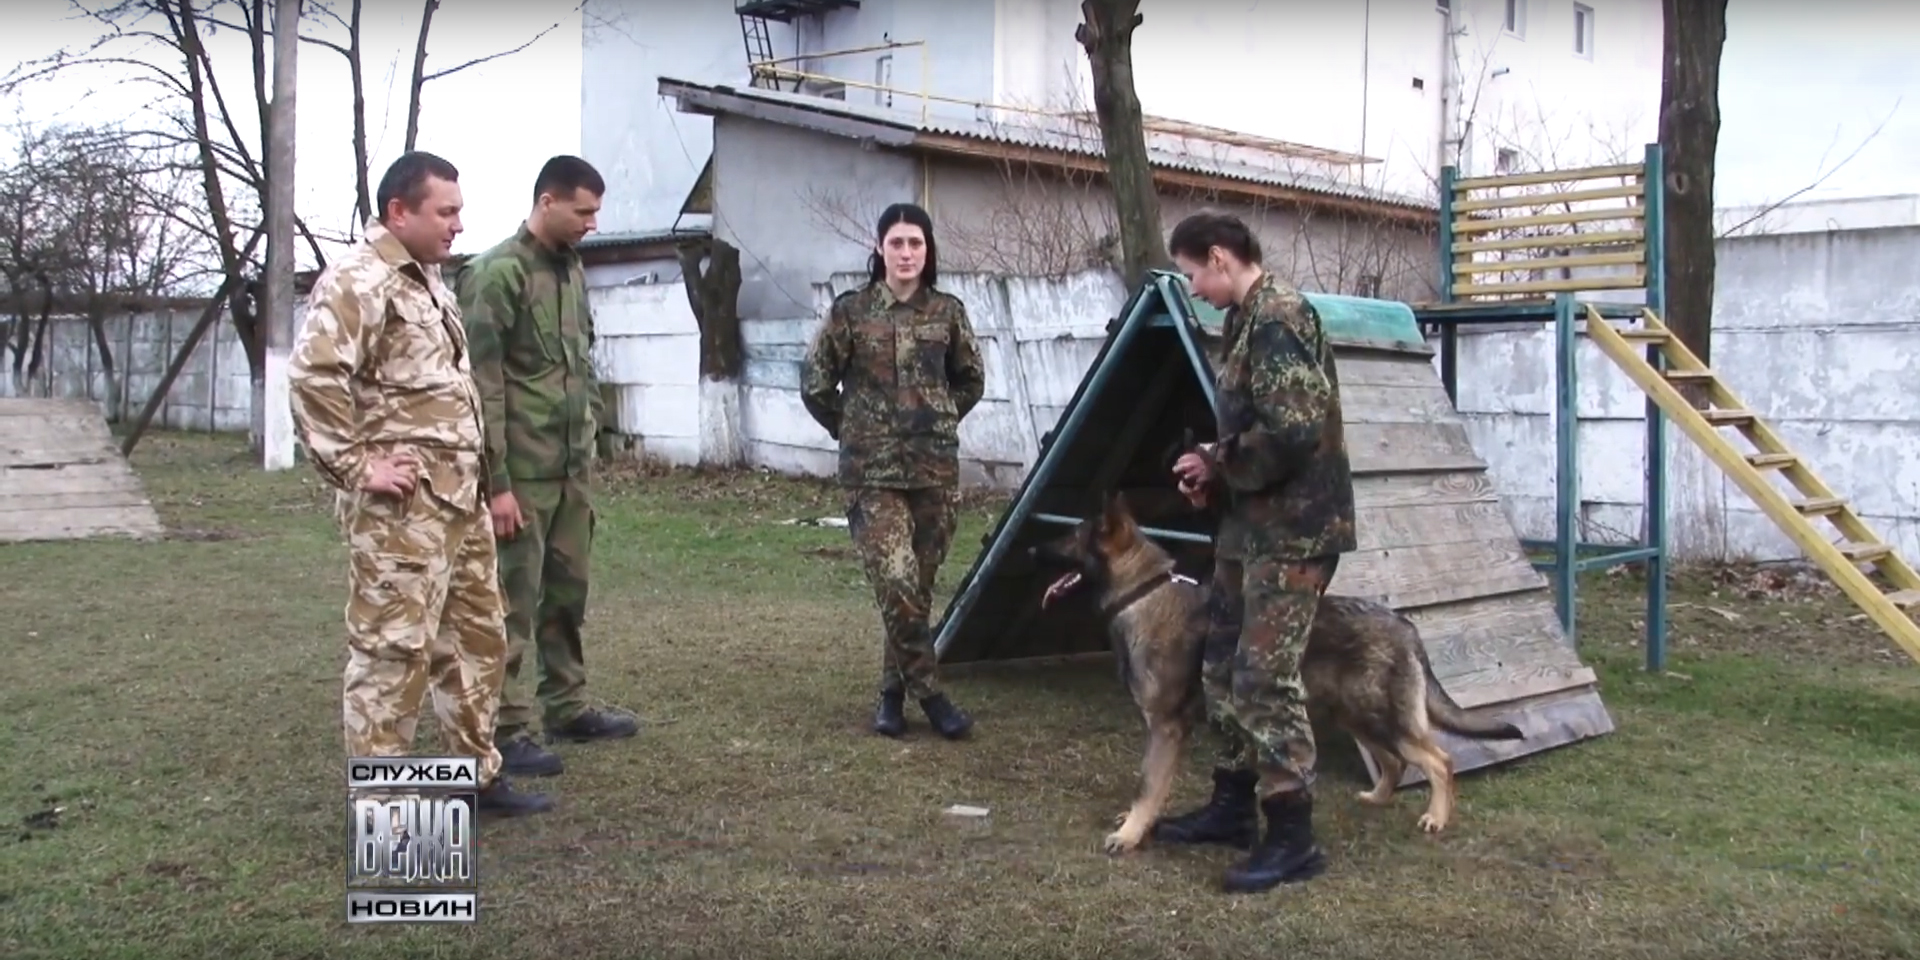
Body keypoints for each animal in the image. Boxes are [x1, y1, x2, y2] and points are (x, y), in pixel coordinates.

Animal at [1028, 492, 1525, 854]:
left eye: (1069, 538)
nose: (1031, 548)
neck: (1142, 593)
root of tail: (1404, 625)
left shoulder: (1166, 730)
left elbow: (1147, 785)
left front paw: (1130, 834)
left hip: (1379, 717)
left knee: (1438, 760)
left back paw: (1436, 817)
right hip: (1355, 716)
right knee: (1396, 761)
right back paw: (1378, 798)